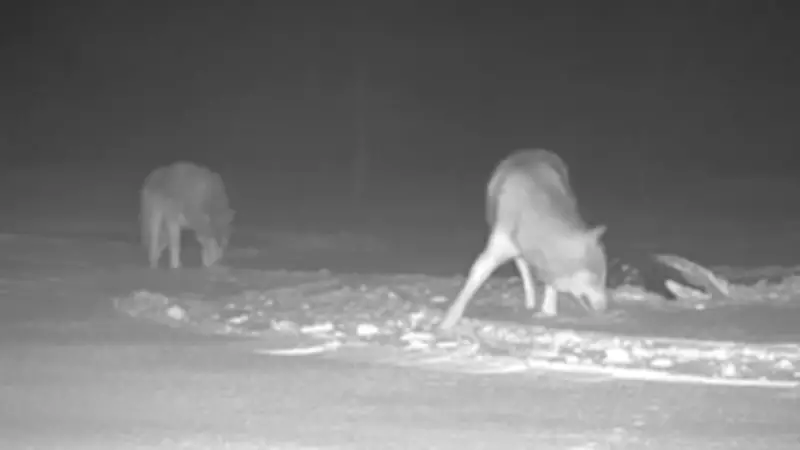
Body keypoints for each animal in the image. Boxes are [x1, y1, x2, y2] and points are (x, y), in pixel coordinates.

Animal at [438, 149, 608, 330]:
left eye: (604, 278)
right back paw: (530, 300)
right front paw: (449, 319)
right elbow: (474, 279)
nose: (605, 307)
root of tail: (532, 150)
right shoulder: (498, 248)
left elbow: (550, 285)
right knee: (524, 271)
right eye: (596, 279)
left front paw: (548, 311)